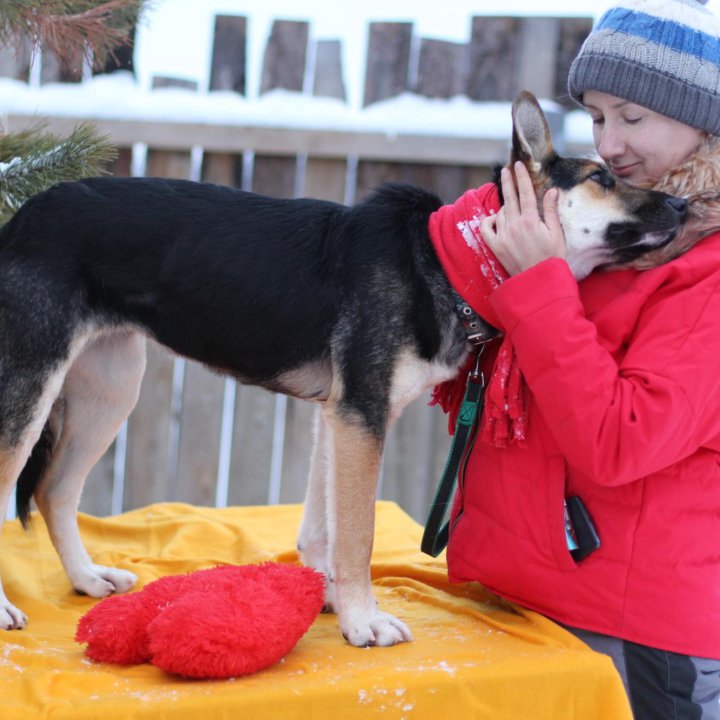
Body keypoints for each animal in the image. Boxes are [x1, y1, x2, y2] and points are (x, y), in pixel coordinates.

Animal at [0, 91, 688, 648]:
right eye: (602, 177)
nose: (683, 205)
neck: (449, 257)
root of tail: (21, 217)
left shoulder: (337, 417)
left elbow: (322, 528)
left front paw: (330, 599)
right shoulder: (361, 416)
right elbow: (357, 532)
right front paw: (365, 621)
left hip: (111, 388)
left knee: (54, 490)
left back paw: (87, 578)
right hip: (31, 392)